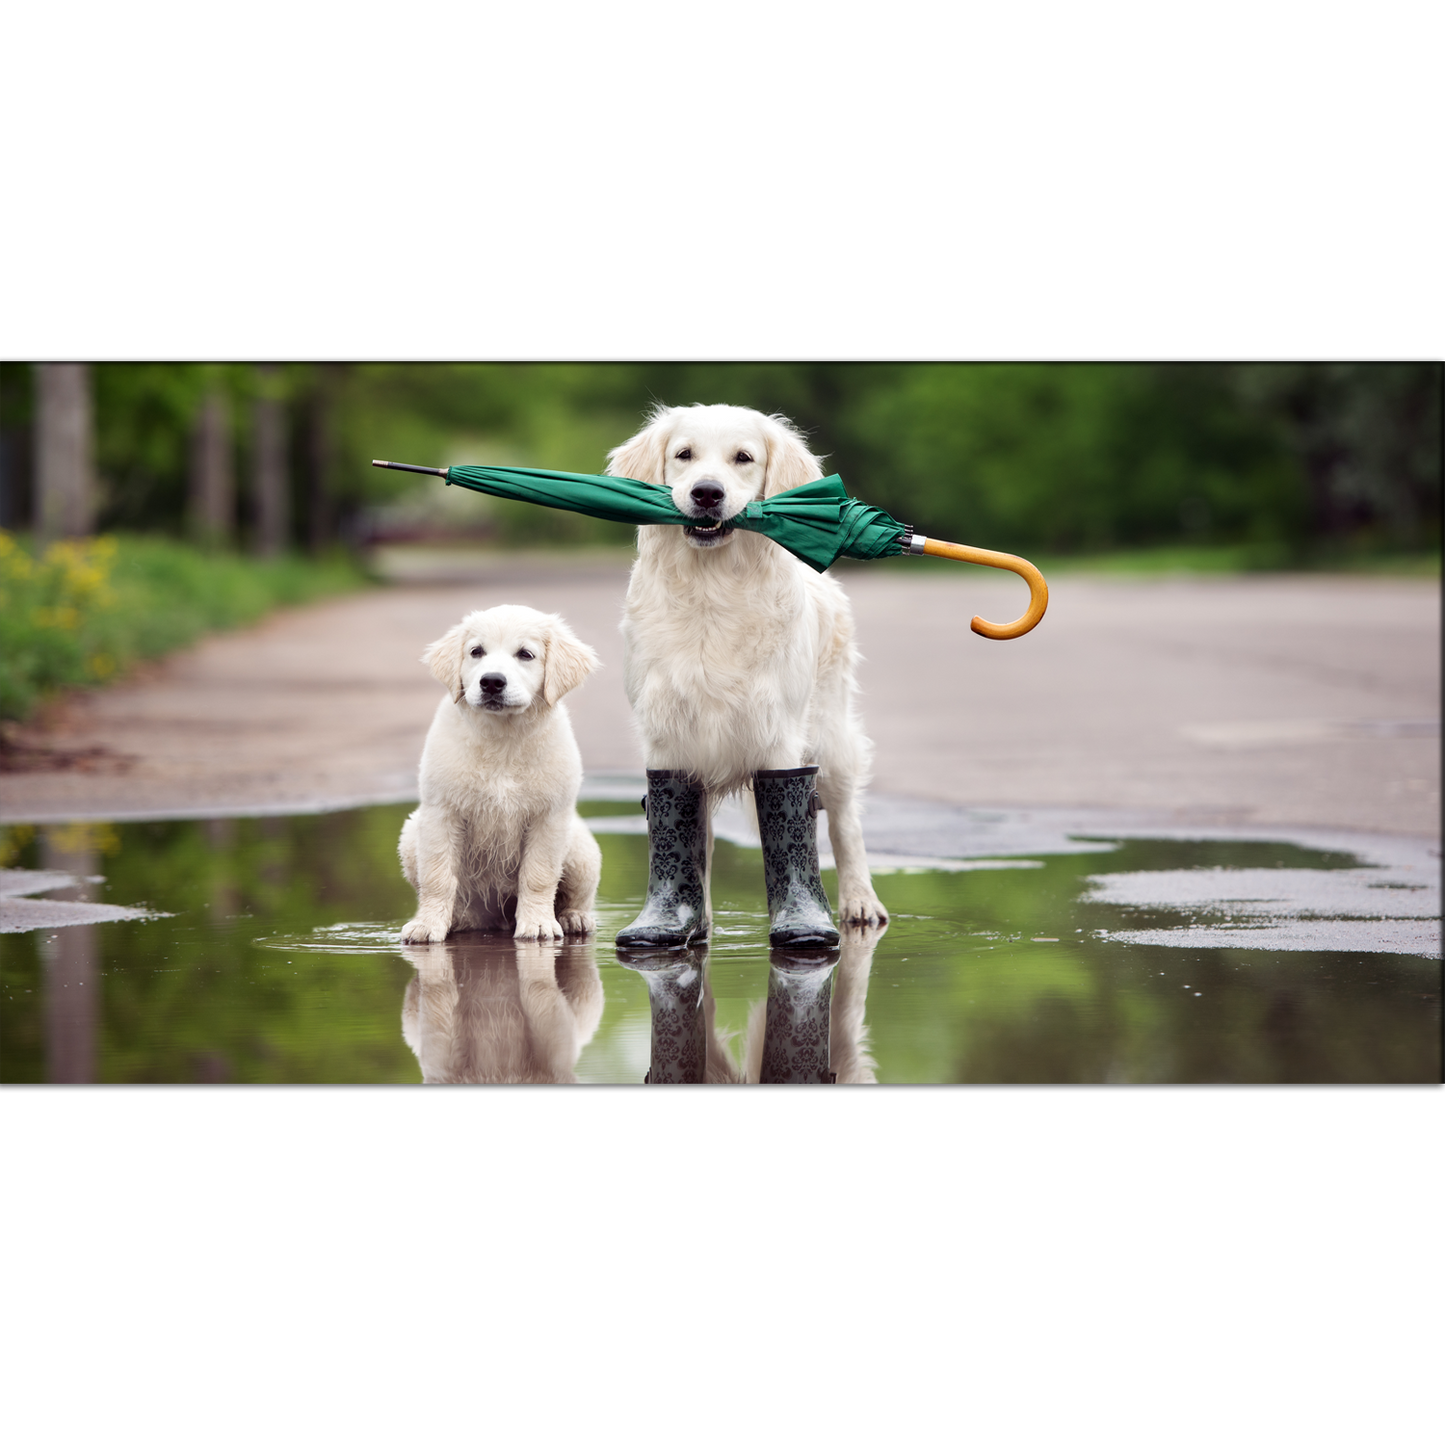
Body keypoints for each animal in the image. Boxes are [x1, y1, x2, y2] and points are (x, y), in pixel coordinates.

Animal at [398, 604, 601, 942]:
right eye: (476, 652)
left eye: (526, 654)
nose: (492, 682)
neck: (503, 739)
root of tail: (496, 921)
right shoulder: (441, 812)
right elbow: (438, 877)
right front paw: (427, 925)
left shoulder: (549, 816)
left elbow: (539, 876)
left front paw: (538, 924)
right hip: (412, 834)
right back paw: (459, 920)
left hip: (580, 849)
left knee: (577, 894)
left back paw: (573, 918)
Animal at [606, 404, 884, 924]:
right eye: (684, 454)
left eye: (743, 458)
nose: (707, 493)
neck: (711, 589)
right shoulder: (668, 736)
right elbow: (686, 835)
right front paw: (684, 919)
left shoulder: (778, 734)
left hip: (831, 735)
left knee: (844, 821)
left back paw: (861, 901)